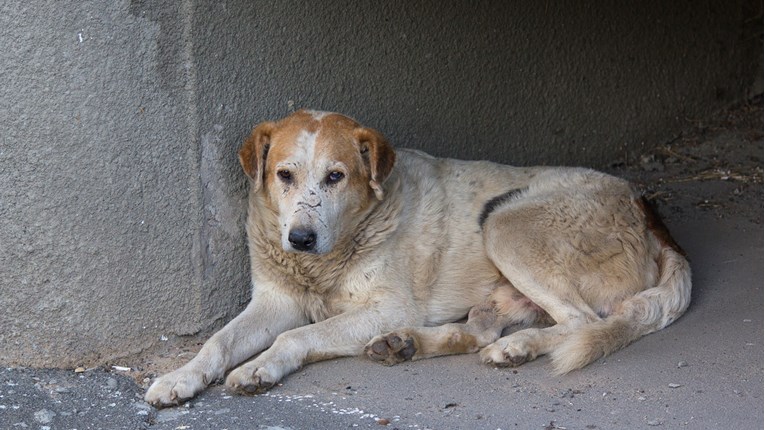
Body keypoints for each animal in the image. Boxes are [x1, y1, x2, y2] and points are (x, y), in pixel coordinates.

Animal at [145, 108, 692, 406]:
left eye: (336, 176)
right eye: (284, 174)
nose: (299, 238)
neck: (320, 264)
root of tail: (647, 209)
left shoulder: (386, 307)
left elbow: (295, 336)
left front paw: (260, 369)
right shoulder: (274, 301)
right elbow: (217, 342)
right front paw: (180, 377)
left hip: (504, 223)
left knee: (581, 322)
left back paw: (517, 346)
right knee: (480, 331)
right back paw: (408, 345)